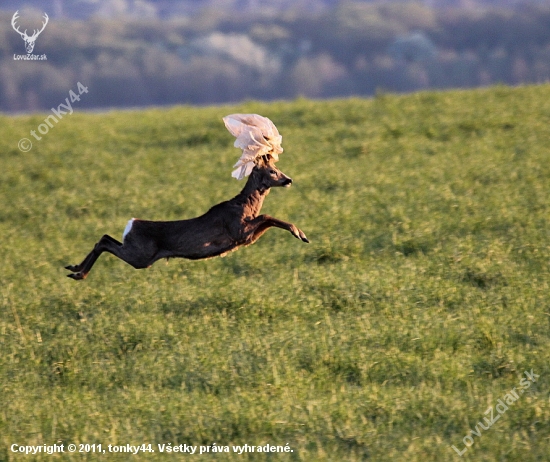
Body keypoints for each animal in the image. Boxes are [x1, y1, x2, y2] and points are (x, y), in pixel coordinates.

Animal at [64, 114, 310, 282]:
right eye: (272, 171)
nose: (288, 180)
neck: (245, 206)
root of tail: (130, 224)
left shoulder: (246, 236)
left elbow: (268, 219)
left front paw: (301, 233)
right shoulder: (238, 230)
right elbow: (268, 216)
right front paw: (301, 234)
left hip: (138, 252)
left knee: (105, 238)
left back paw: (74, 270)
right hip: (141, 255)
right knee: (104, 241)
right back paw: (77, 272)